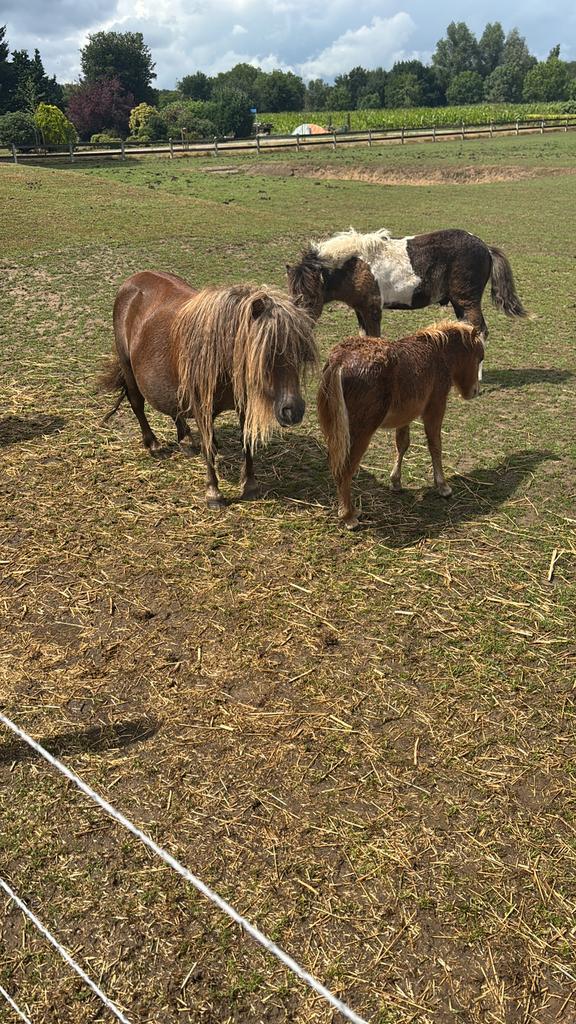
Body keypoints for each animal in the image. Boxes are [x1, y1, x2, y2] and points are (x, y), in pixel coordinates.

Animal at [99, 271, 318, 507]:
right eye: (267, 353)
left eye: (300, 353)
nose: (293, 411)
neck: (221, 355)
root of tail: (134, 280)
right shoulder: (201, 406)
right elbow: (208, 448)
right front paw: (214, 493)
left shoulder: (243, 404)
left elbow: (245, 442)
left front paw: (250, 486)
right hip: (128, 368)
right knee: (137, 404)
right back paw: (154, 445)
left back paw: (186, 440)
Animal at [287, 227, 527, 345]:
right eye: (293, 296)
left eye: (309, 298)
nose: (300, 326)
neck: (355, 265)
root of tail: (485, 247)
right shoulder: (360, 309)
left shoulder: (372, 309)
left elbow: (375, 338)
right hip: (460, 304)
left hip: (467, 301)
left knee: (481, 331)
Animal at [317, 321, 484, 530]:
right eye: (479, 357)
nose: (476, 391)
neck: (438, 354)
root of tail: (339, 361)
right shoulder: (435, 408)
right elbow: (435, 445)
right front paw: (443, 486)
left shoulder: (405, 415)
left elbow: (402, 444)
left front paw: (395, 482)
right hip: (360, 433)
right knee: (345, 468)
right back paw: (349, 516)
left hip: (335, 431)